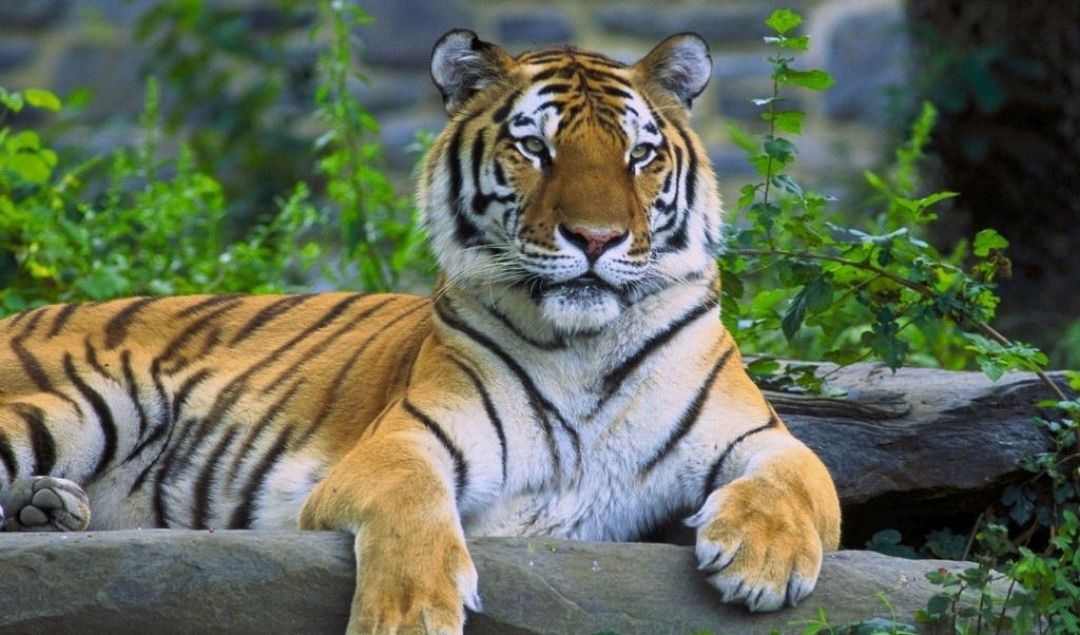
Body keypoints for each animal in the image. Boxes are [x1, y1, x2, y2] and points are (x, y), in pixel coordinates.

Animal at [0, 30, 841, 634]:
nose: (596, 238)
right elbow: (413, 506)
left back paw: (47, 507)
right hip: (95, 400)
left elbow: (804, 477)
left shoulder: (757, 433)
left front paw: (763, 560)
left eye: (640, 155)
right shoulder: (405, 440)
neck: (585, 346)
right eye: (535, 147)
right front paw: (408, 615)